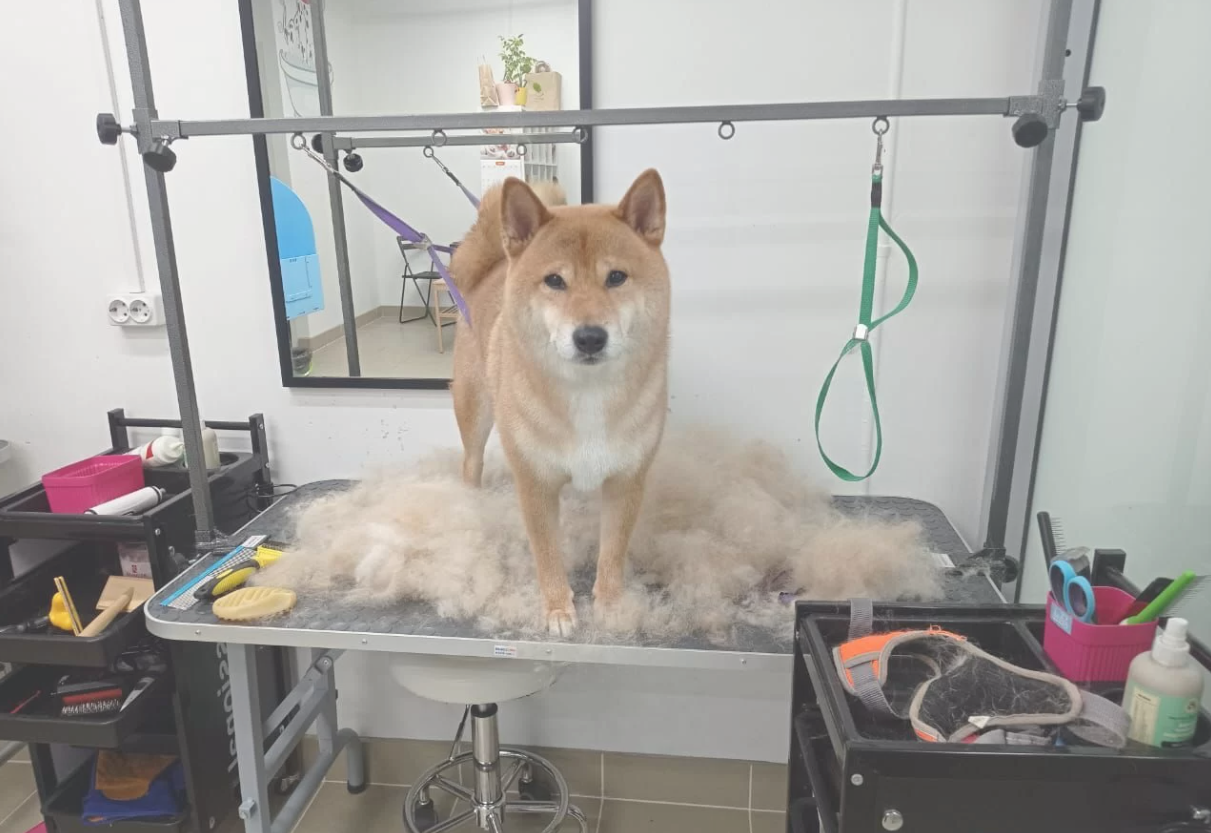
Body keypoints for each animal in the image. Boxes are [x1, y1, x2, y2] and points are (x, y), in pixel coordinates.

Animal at [449, 170, 670, 635]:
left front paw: (609, 605)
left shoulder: (626, 480)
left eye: (616, 277)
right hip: (474, 412)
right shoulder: (535, 483)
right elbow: (547, 553)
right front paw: (557, 610)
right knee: (471, 463)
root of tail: (490, 270)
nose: (589, 337)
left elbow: (613, 551)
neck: (587, 393)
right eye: (554, 280)